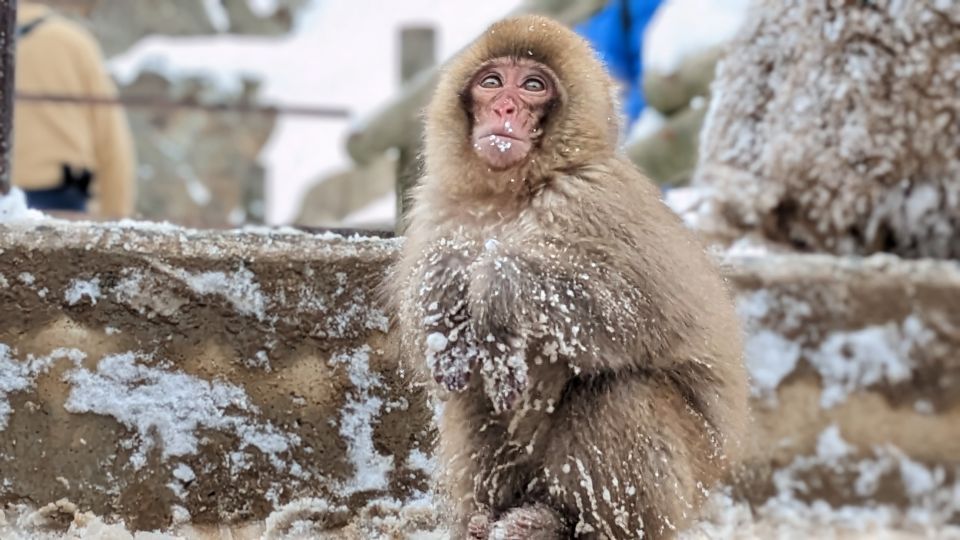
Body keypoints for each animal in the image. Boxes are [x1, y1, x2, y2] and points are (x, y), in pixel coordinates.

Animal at [386, 15, 749, 540]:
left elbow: (632, 313)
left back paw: (562, 524)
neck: (510, 194)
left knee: (619, 392)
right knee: (472, 397)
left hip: (686, 482)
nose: (505, 107)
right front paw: (445, 276)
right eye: (492, 81)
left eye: (532, 86)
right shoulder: (439, 211)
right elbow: (427, 343)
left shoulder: (594, 201)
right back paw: (487, 519)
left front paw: (496, 285)